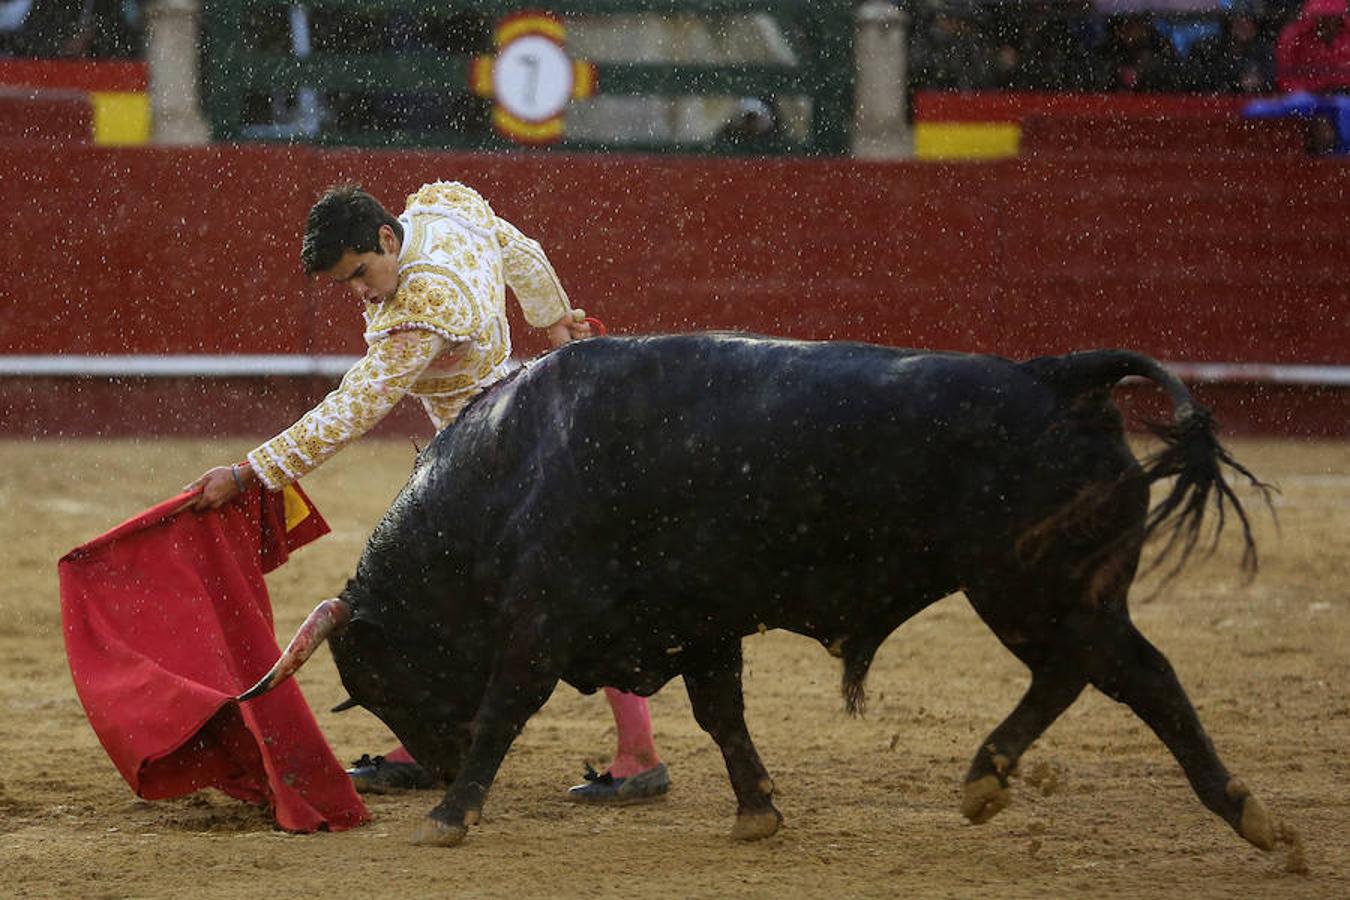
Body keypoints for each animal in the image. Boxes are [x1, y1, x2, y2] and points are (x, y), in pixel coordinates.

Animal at [240, 335, 1274, 852]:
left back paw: (1242, 813)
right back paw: (995, 779)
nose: (431, 765)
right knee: (1083, 675)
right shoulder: (696, 622)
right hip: (1047, 597)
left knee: (1139, 677)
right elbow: (722, 714)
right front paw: (757, 812)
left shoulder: (545, 614)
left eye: (379, 681)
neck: (512, 463)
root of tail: (1058, 379)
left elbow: (506, 702)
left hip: (1034, 589)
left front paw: (453, 817)